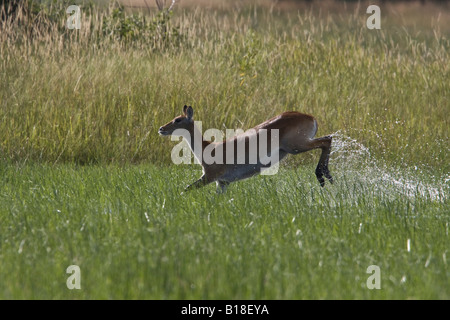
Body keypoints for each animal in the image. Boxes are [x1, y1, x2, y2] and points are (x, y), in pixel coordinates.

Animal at [159, 105, 334, 192]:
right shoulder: (222, 183)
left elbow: (186, 189)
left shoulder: (209, 177)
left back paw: (322, 176)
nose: (161, 128)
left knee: (327, 140)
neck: (207, 148)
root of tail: (311, 117)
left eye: (177, 120)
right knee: (328, 139)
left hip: (296, 146)